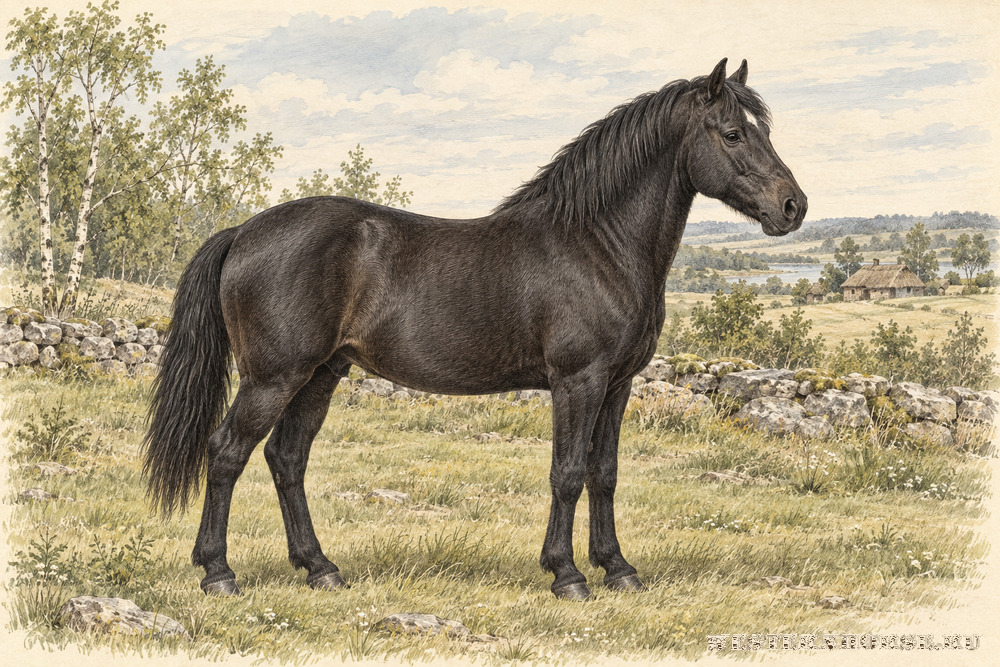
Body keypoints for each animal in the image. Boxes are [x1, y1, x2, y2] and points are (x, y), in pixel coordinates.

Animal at [144, 58, 806, 600]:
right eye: (732, 133)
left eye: (766, 131)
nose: (793, 207)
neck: (596, 244)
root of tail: (243, 232)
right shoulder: (578, 381)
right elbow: (568, 474)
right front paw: (567, 574)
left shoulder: (616, 386)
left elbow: (605, 474)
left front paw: (618, 568)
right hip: (272, 378)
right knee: (227, 452)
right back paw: (218, 572)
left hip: (320, 375)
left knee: (287, 459)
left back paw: (320, 568)